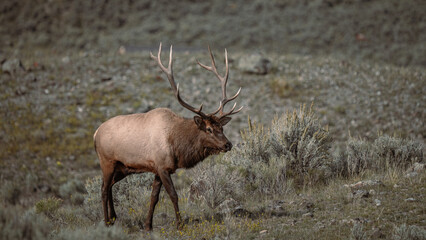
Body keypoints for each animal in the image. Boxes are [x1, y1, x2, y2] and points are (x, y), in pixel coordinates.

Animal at [94, 43, 243, 231]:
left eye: (221, 127)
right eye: (208, 129)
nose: (227, 144)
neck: (177, 145)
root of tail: (95, 134)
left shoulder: (158, 168)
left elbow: (154, 197)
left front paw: (148, 225)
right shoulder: (163, 166)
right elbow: (173, 195)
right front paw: (180, 224)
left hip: (122, 167)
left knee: (109, 186)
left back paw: (114, 218)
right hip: (107, 161)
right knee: (103, 189)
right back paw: (106, 222)